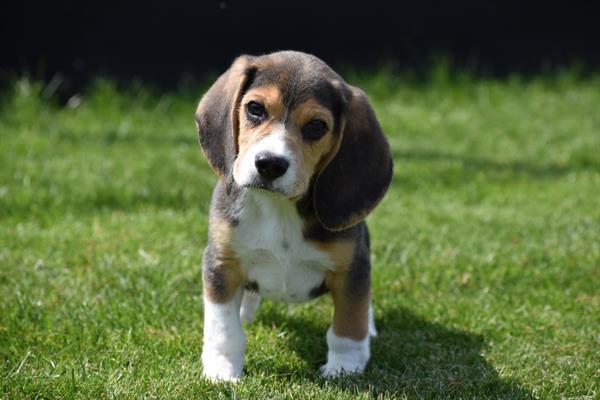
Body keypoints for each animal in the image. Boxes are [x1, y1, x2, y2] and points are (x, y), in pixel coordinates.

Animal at [196, 50, 394, 382]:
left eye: (316, 126)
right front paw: (223, 370)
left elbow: (347, 326)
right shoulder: (221, 264)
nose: (270, 164)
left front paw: (344, 368)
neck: (280, 209)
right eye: (255, 109)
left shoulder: (351, 270)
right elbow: (224, 329)